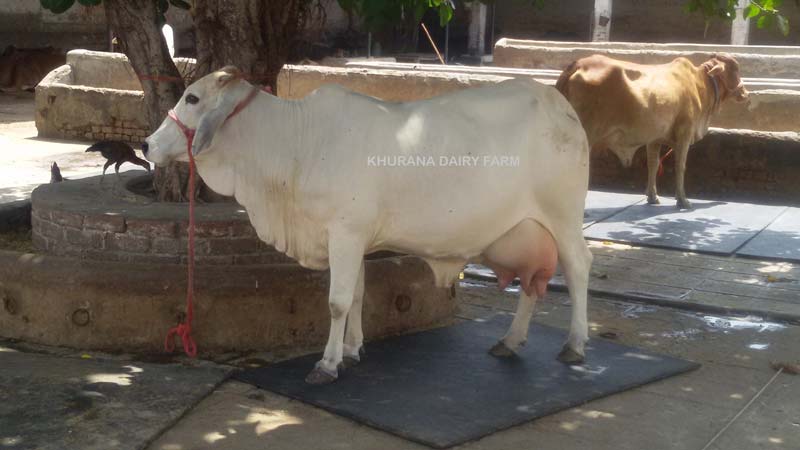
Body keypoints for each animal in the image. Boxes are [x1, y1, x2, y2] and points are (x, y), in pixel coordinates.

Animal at [144, 66, 592, 384]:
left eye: (192, 97)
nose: (147, 144)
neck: (294, 145)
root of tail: (559, 102)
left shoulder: (345, 232)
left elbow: (338, 301)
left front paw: (327, 363)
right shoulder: (352, 238)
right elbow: (358, 294)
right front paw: (352, 350)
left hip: (564, 217)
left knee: (576, 268)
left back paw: (574, 344)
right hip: (532, 230)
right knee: (533, 282)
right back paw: (510, 341)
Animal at [556, 53, 752, 208]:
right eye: (735, 69)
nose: (746, 93)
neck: (699, 84)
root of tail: (578, 64)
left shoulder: (654, 139)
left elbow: (653, 164)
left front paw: (652, 197)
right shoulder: (685, 133)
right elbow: (680, 166)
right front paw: (683, 201)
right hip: (583, 137)